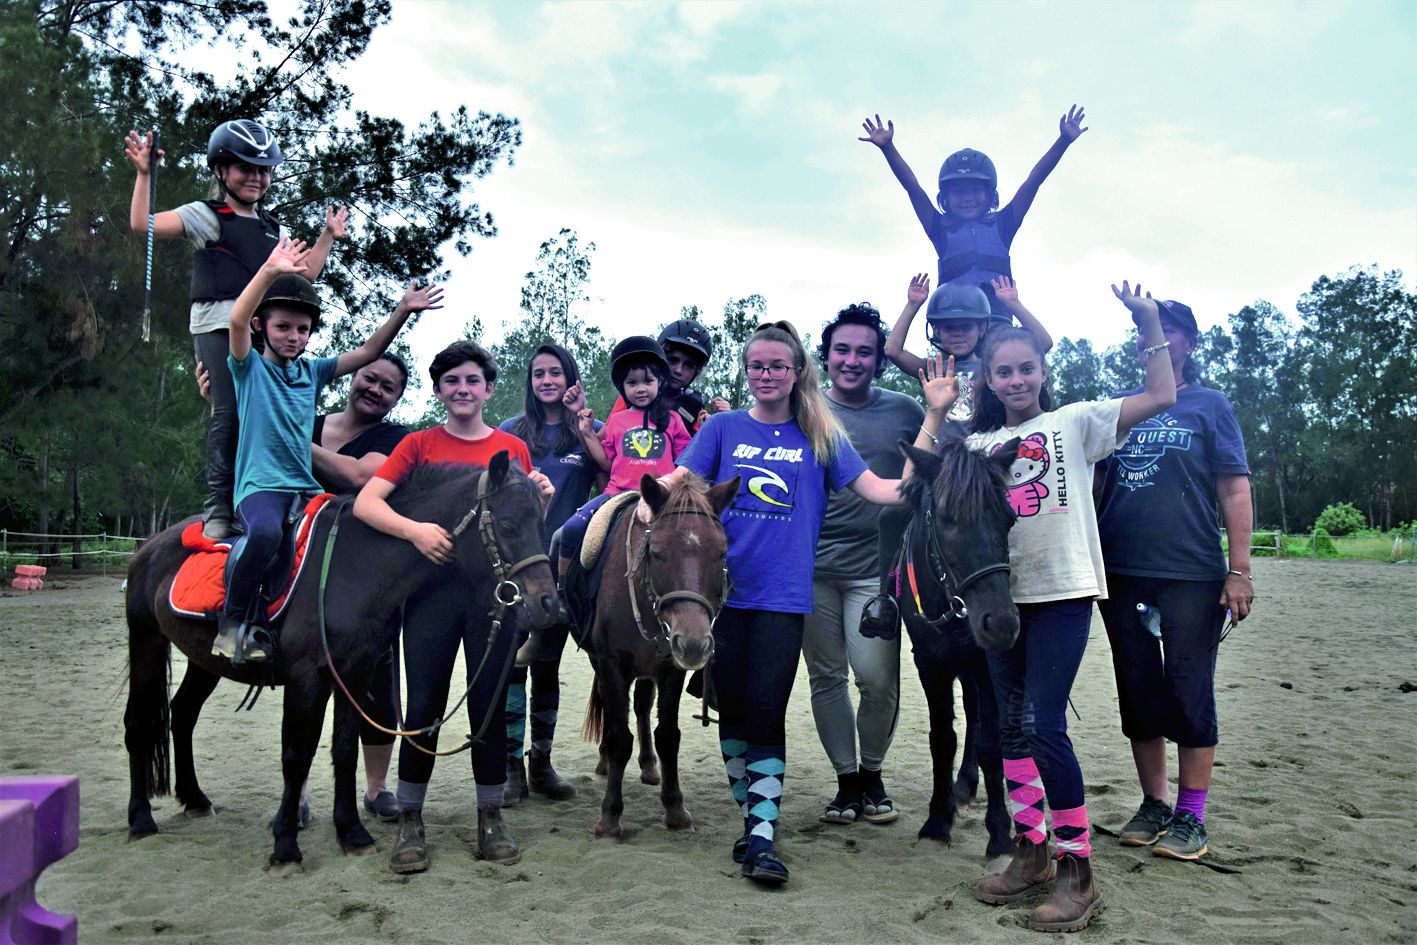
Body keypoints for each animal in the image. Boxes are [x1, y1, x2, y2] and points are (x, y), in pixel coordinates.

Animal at [121, 453, 555, 867]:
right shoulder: (307, 679)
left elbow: (344, 750)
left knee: (182, 715)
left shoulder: (354, 673)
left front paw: (352, 833)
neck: (356, 568)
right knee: (138, 723)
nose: (548, 602)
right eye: (509, 525)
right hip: (145, 640)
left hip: (203, 661)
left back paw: (195, 799)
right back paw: (141, 818)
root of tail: (151, 545)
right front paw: (285, 847)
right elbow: (297, 757)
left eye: (540, 522)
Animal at [583, 476, 742, 838]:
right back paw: (605, 761)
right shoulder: (612, 666)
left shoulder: (670, 670)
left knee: (642, 706)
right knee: (612, 710)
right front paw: (610, 815)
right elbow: (619, 738)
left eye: (721, 552)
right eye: (656, 553)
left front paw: (674, 808)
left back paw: (648, 765)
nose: (694, 643)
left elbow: (668, 736)